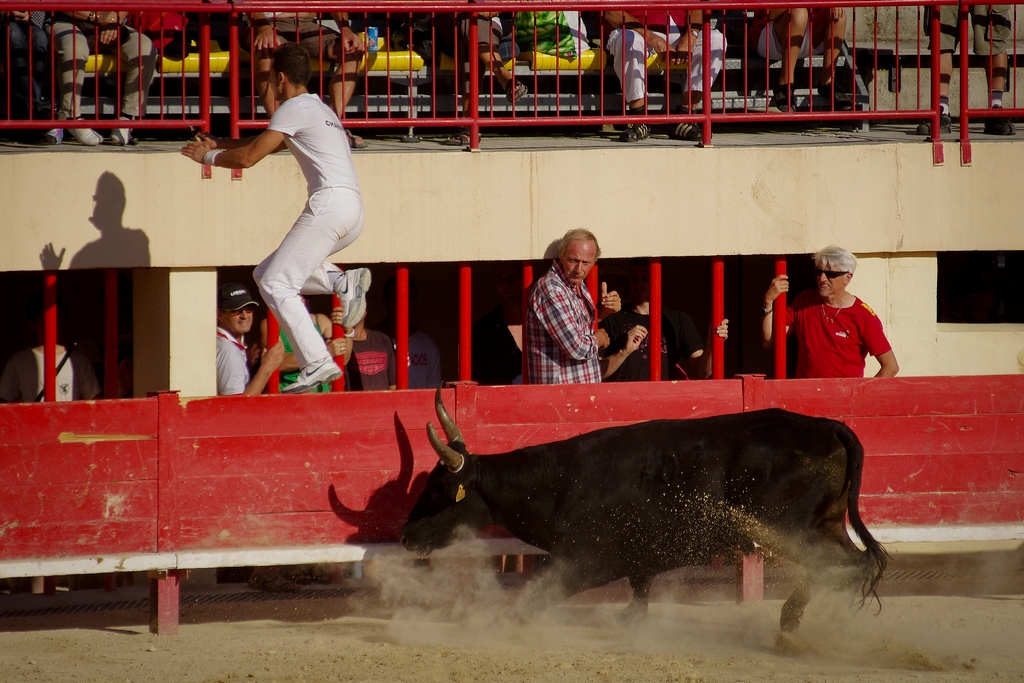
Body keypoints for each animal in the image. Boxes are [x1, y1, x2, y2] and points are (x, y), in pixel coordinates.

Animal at [399, 387, 888, 634]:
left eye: (439, 489)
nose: (405, 536)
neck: (557, 483)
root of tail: (828, 425)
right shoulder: (639, 566)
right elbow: (637, 602)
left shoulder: (584, 562)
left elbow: (529, 598)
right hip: (825, 525)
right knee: (855, 562)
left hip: (787, 529)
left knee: (840, 565)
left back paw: (789, 620)